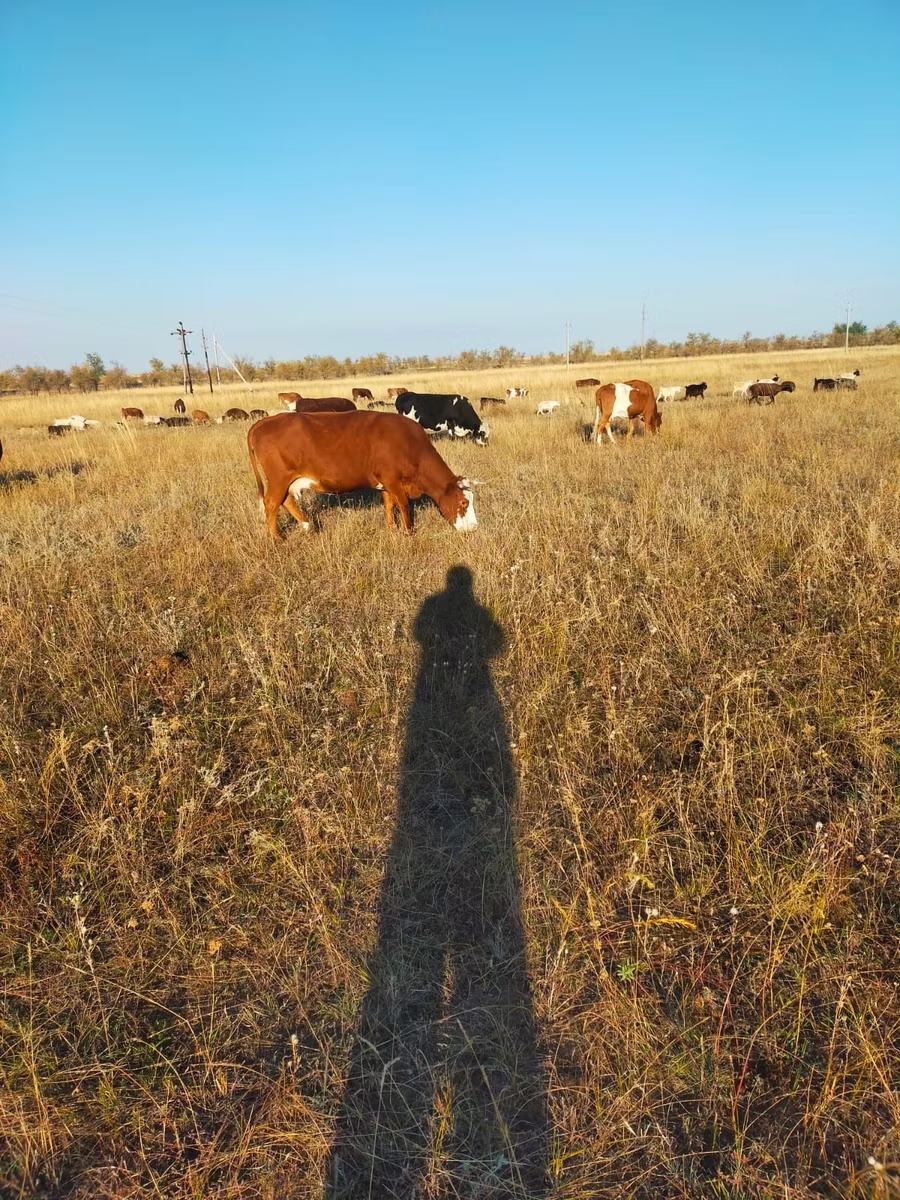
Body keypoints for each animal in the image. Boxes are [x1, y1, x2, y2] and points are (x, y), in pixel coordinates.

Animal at [247, 411, 479, 540]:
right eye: (464, 503)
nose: (474, 528)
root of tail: (264, 421)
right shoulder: (392, 478)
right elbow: (403, 505)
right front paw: (408, 533)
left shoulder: (385, 482)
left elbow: (389, 505)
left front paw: (392, 529)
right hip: (278, 479)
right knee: (271, 503)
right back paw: (278, 540)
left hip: (286, 481)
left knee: (285, 501)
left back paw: (307, 525)